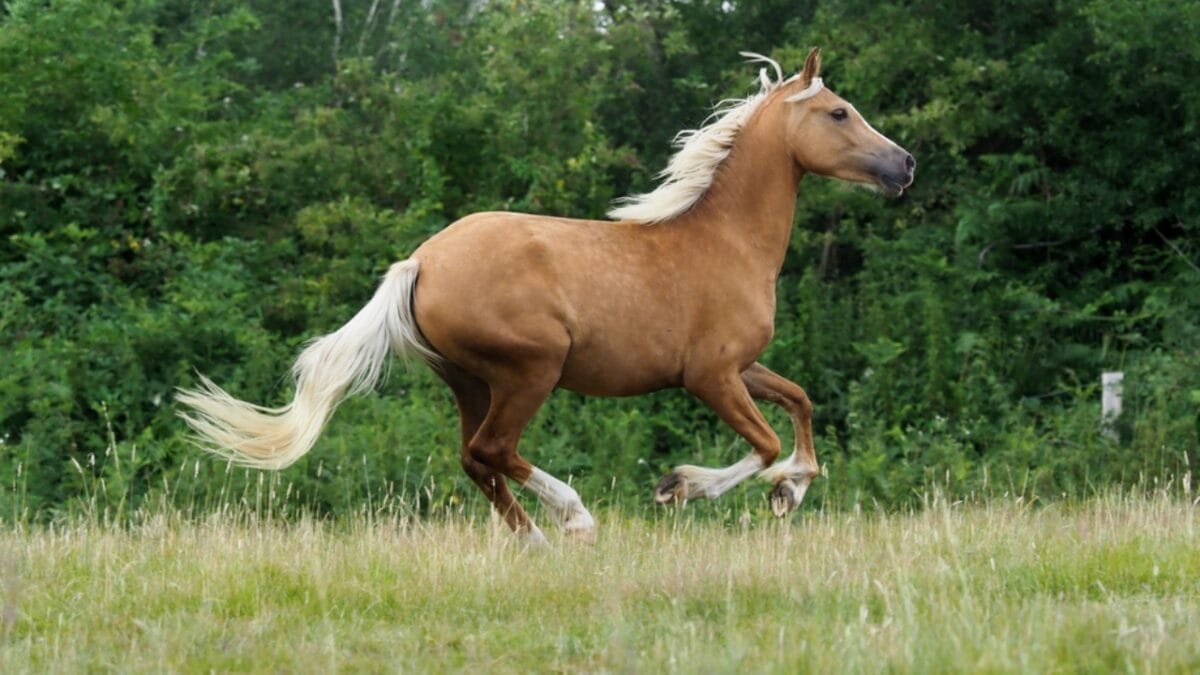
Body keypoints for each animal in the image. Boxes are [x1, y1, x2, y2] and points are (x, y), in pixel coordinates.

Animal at [178, 48, 915, 544]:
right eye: (838, 111)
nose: (903, 164)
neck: (727, 240)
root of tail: (419, 262)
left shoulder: (743, 366)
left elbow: (800, 401)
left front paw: (790, 490)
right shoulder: (710, 375)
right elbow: (763, 443)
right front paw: (682, 486)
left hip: (469, 380)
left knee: (474, 457)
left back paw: (532, 537)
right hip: (531, 368)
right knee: (495, 450)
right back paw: (575, 517)